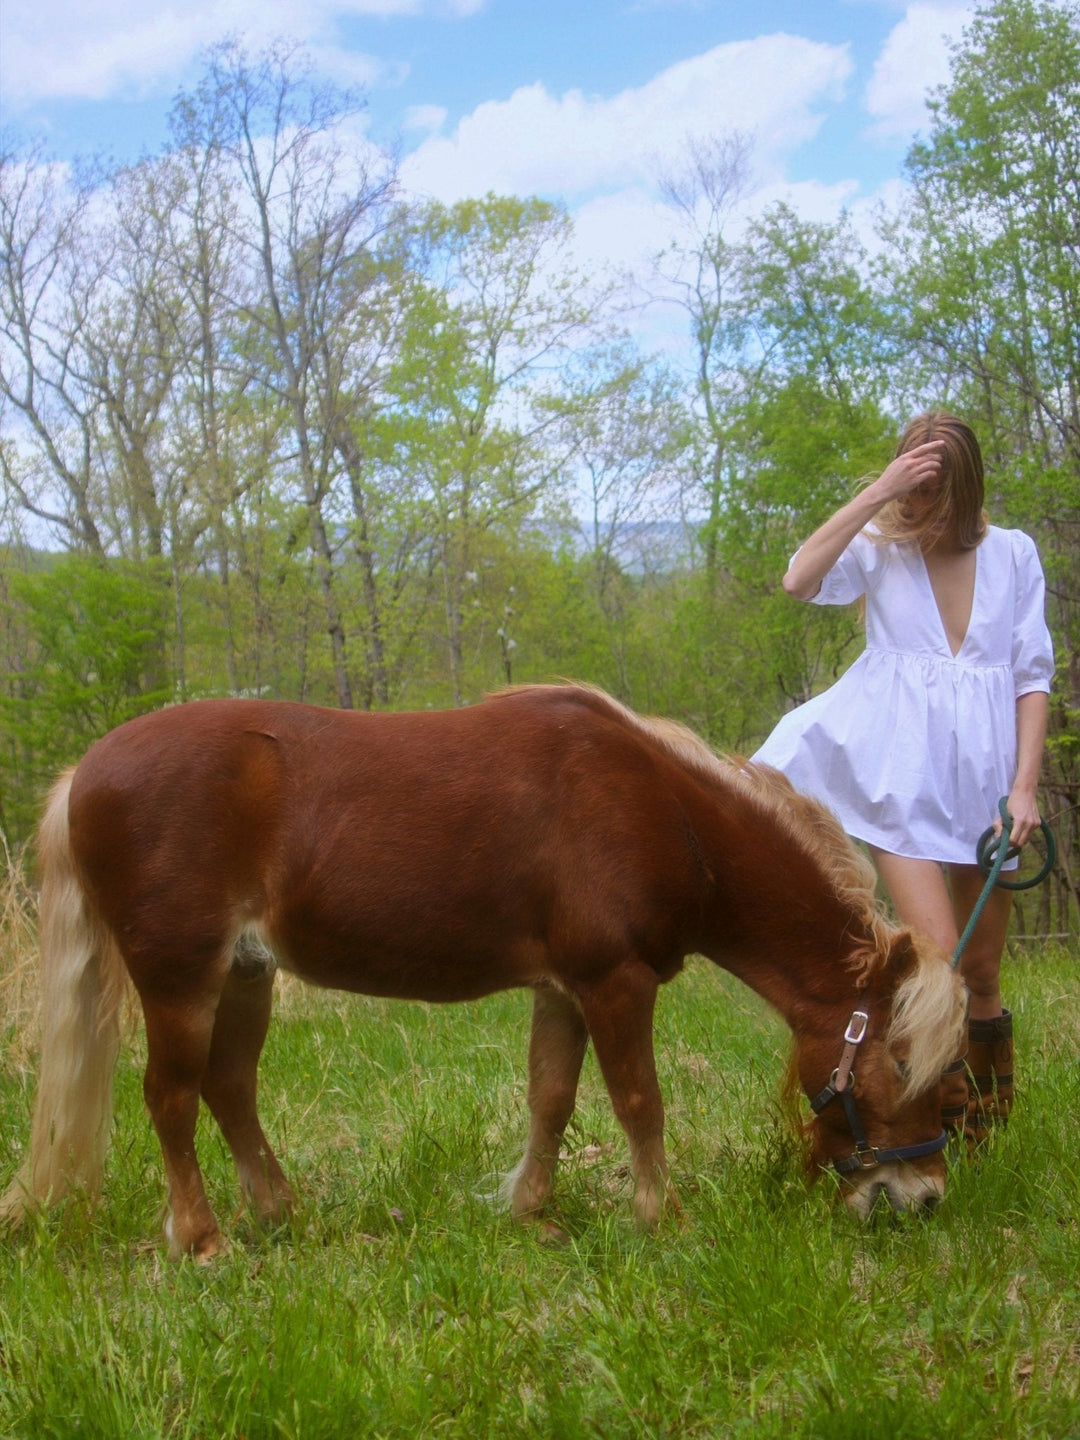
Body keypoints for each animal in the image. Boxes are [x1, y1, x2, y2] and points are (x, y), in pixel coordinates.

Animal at [0, 679, 961, 1255]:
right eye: (899, 1060)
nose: (922, 1198)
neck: (661, 809)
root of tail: (86, 770)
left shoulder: (564, 990)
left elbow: (553, 1098)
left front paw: (532, 1208)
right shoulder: (615, 983)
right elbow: (640, 1101)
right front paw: (666, 1219)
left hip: (244, 973)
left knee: (228, 1089)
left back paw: (280, 1212)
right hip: (179, 978)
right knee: (169, 1098)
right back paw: (201, 1239)